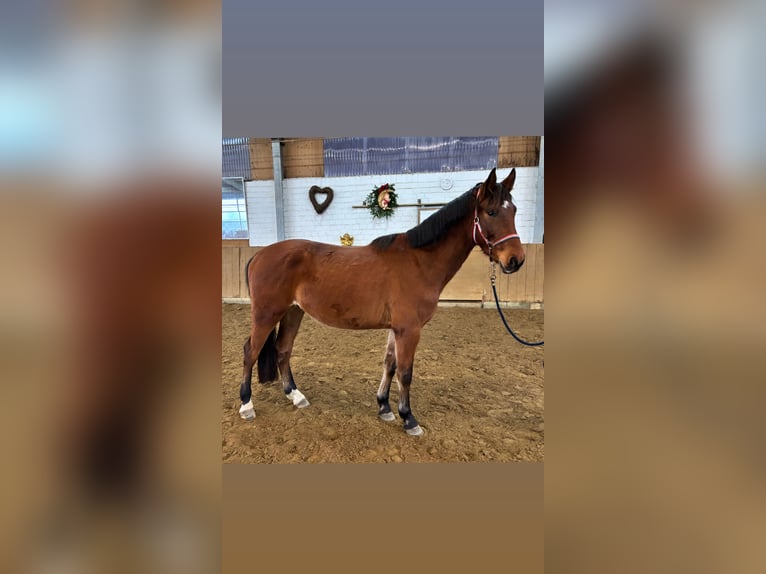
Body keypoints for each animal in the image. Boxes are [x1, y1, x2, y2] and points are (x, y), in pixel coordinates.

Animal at [240, 169, 528, 438]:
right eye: (491, 212)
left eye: (513, 210)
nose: (516, 260)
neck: (419, 261)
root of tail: (259, 255)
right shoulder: (409, 330)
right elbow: (405, 372)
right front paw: (408, 418)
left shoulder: (397, 328)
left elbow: (389, 365)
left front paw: (384, 407)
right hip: (266, 314)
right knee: (250, 351)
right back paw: (246, 405)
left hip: (292, 312)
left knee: (283, 349)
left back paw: (295, 395)